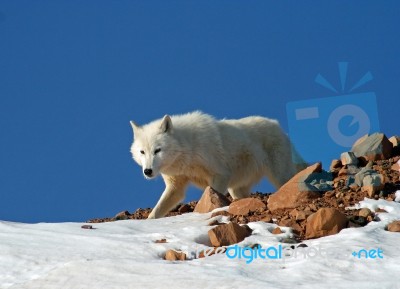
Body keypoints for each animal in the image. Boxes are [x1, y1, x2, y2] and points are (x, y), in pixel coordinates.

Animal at [130, 111, 304, 218]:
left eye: (157, 150)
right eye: (142, 152)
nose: (147, 171)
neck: (188, 149)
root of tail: (278, 126)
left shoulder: (220, 175)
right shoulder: (175, 187)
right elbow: (156, 211)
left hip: (280, 176)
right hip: (236, 189)